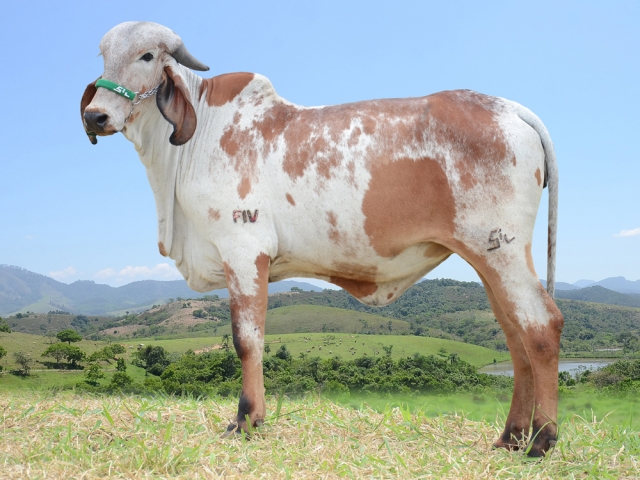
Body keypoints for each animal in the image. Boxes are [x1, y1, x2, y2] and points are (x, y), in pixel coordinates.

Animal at [81, 22, 562, 457]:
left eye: (147, 56)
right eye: (103, 56)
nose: (95, 115)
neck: (193, 143)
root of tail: (510, 109)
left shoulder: (244, 249)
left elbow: (247, 340)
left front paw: (246, 420)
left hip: (502, 251)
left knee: (542, 327)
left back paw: (541, 440)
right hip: (489, 257)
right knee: (516, 338)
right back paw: (510, 437)